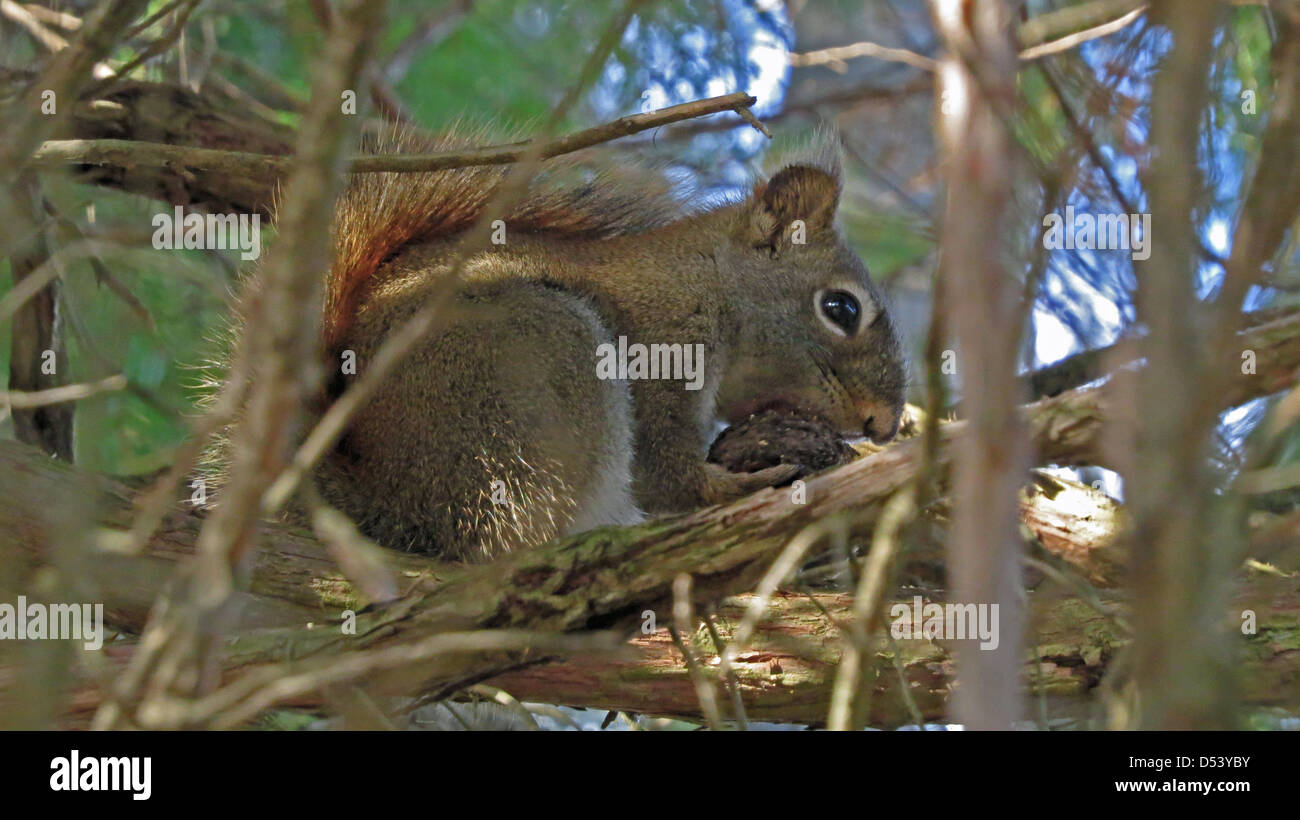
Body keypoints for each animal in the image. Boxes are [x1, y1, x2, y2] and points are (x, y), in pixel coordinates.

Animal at [204, 125, 907, 562]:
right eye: (841, 308)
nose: (885, 423)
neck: (708, 282)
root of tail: (391, 500)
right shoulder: (663, 348)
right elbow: (667, 478)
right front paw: (747, 483)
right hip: (537, 362)